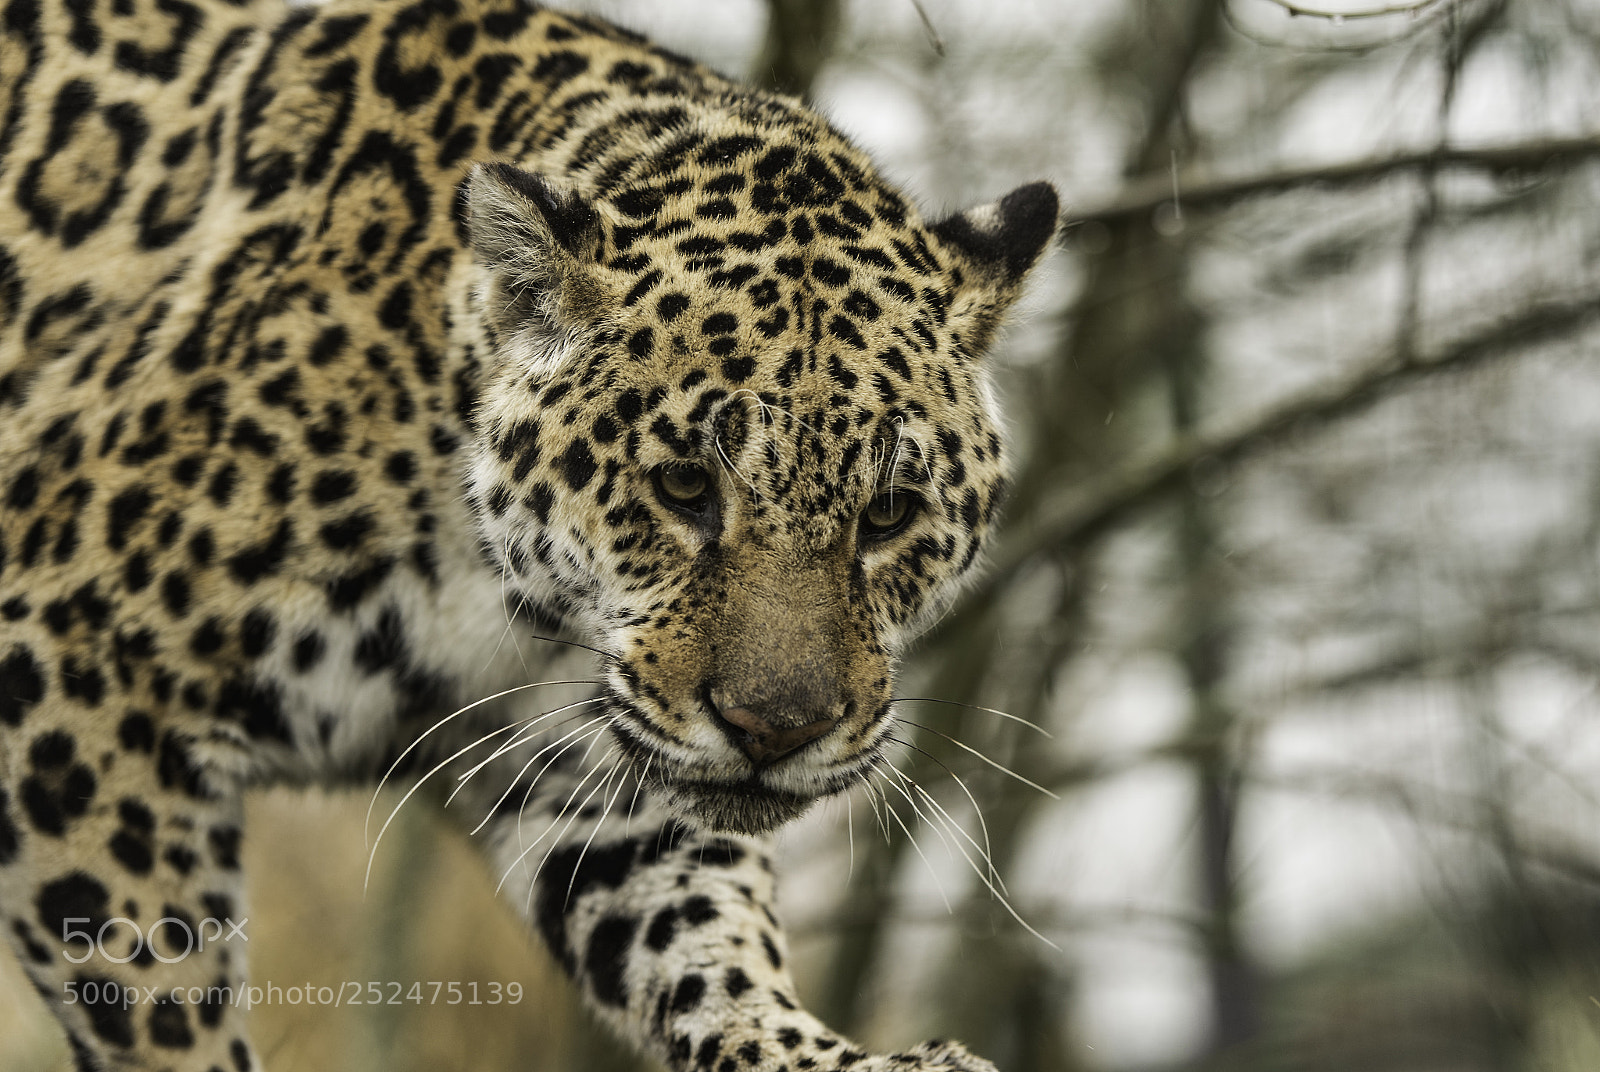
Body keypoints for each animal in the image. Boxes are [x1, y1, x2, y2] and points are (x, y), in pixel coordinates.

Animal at [0, 0, 1059, 1068]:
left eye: (888, 514)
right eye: (685, 486)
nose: (776, 733)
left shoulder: (593, 779)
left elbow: (706, 945)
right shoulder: (70, 672)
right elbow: (163, 1000)